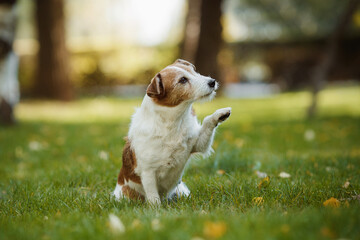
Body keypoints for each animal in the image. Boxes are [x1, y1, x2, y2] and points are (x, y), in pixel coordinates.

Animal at [113, 58, 231, 204]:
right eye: (182, 80)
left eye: (194, 71)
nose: (212, 81)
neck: (172, 122)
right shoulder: (148, 173)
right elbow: (153, 197)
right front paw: (156, 208)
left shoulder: (198, 144)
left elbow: (208, 121)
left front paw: (221, 114)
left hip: (181, 190)